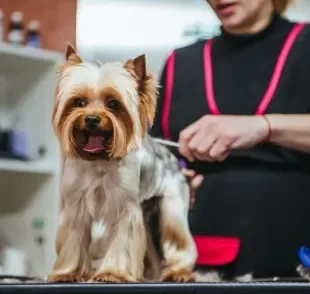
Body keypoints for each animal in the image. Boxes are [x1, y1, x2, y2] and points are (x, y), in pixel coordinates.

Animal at [48, 43, 197, 282]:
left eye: (113, 103)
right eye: (79, 102)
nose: (91, 119)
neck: (100, 160)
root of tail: (172, 157)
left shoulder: (125, 208)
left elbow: (123, 242)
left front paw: (111, 273)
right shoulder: (75, 206)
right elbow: (73, 240)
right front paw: (67, 273)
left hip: (172, 206)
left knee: (177, 237)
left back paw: (179, 272)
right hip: (146, 213)